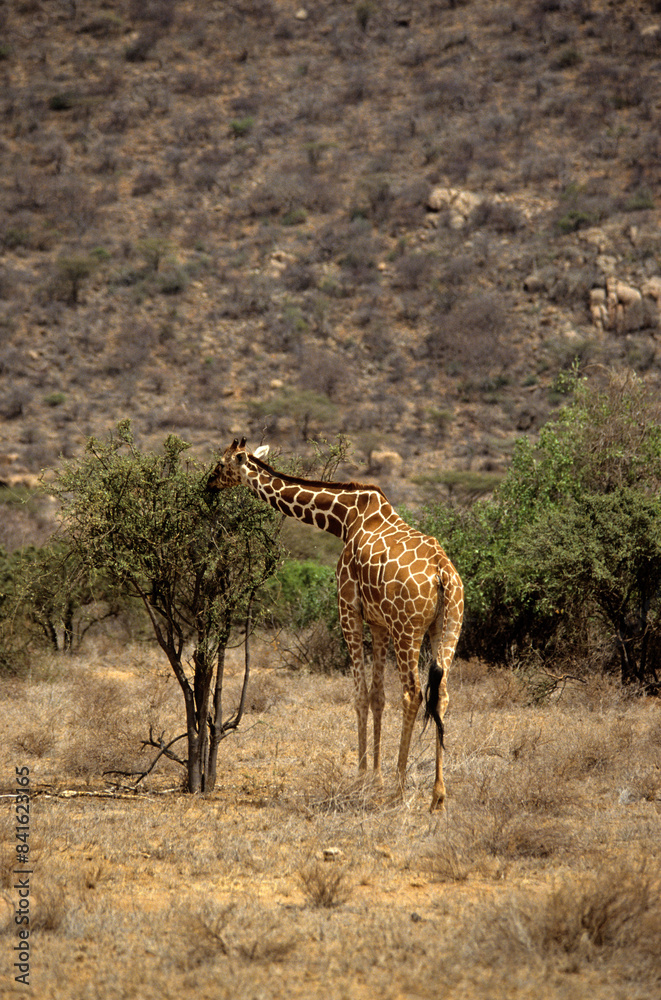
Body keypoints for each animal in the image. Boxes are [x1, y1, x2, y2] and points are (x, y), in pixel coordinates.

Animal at [207, 438, 464, 810]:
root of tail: (443, 573)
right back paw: (438, 795)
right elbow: (377, 696)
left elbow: (359, 695)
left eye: (221, 463)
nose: (207, 484)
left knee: (413, 693)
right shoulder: (378, 623)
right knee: (441, 695)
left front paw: (362, 779)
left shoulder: (348, 610)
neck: (344, 519)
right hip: (447, 628)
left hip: (408, 629)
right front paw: (374, 778)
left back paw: (400, 789)